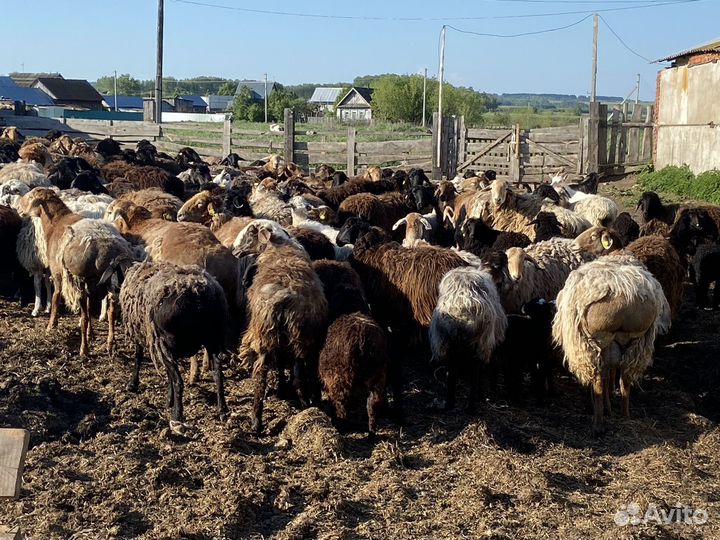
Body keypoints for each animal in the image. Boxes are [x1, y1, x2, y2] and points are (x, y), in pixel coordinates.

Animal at [121, 261, 230, 432]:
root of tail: (196, 290)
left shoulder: (146, 337)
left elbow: (138, 357)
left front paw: (132, 384)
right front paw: (168, 399)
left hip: (165, 341)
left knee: (179, 381)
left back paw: (177, 416)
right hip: (213, 338)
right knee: (218, 374)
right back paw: (222, 410)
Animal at [238, 223, 328, 434]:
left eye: (250, 234)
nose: (235, 251)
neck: (279, 245)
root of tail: (285, 298)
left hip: (267, 334)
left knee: (262, 375)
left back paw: (257, 419)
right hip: (296, 335)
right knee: (296, 370)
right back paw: (303, 402)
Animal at [429, 266, 507, 412]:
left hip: (448, 341)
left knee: (452, 370)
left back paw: (449, 404)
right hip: (479, 341)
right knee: (475, 370)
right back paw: (472, 406)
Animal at [552, 255, 671, 434]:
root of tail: (623, 291)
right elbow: (612, 374)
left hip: (594, 343)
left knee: (598, 379)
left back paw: (598, 423)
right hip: (636, 340)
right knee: (625, 379)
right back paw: (625, 415)